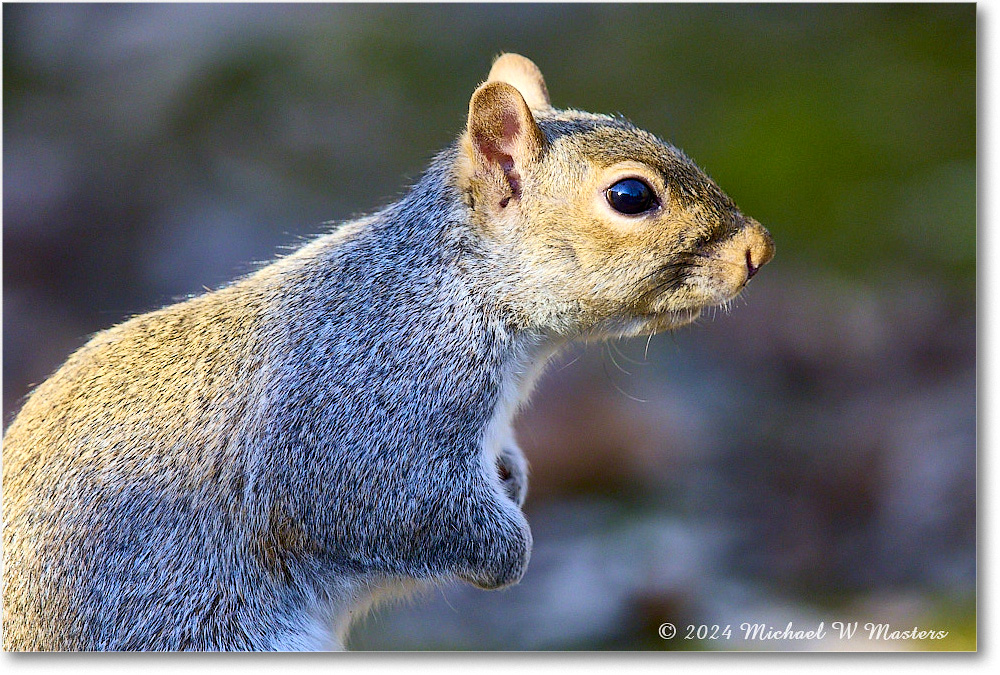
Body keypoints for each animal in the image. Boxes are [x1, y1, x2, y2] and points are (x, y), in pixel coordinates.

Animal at [0, 54, 772, 648]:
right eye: (631, 195)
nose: (757, 248)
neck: (457, 290)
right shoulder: (372, 410)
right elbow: (389, 506)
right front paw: (509, 549)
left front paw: (514, 476)